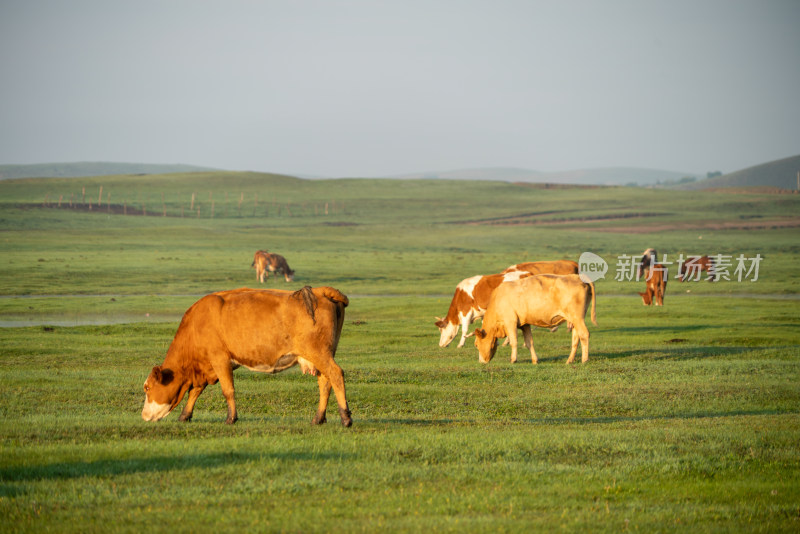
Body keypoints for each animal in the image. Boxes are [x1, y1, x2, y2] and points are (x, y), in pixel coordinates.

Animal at [140, 286, 350, 430]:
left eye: (147, 387)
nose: (143, 416)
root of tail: (318, 291)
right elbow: (195, 391)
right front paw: (185, 415)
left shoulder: (220, 359)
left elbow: (228, 390)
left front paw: (231, 418)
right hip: (321, 355)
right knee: (325, 382)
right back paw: (318, 418)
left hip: (319, 353)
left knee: (336, 374)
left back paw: (346, 417)